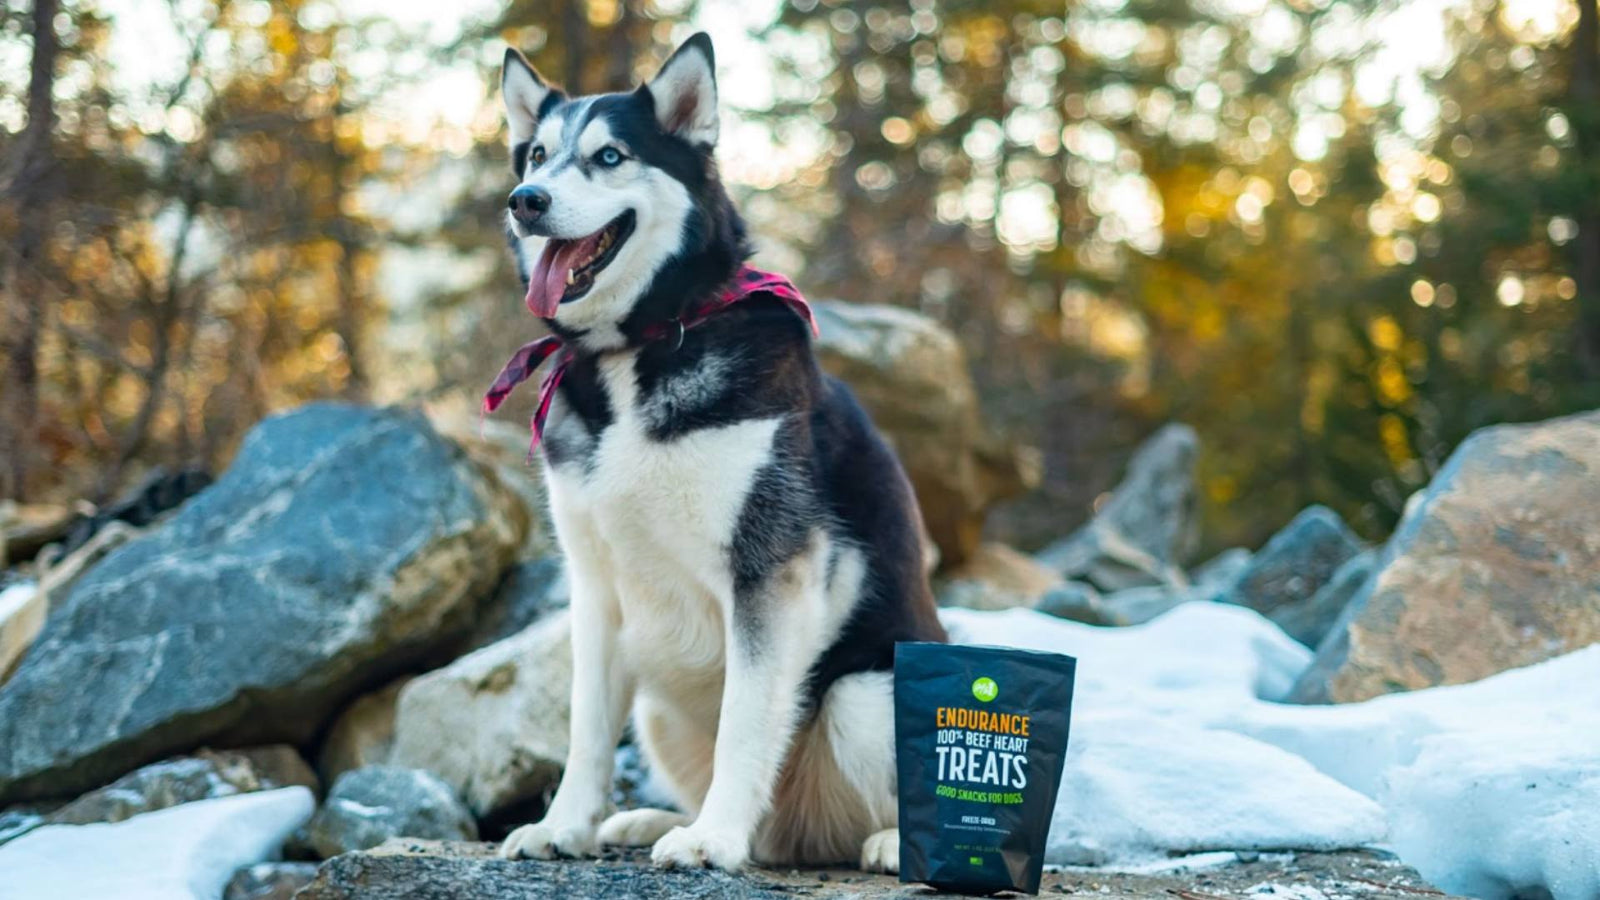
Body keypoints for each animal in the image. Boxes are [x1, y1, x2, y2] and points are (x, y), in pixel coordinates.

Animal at [496, 31, 947, 864]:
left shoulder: (772, 572)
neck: (639, 348)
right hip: (661, 707)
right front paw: (563, 826)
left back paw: (884, 844)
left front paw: (712, 840)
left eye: (609, 156)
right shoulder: (595, 588)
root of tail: (794, 832)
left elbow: (746, 717)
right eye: (536, 155)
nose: (526, 201)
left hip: (863, 693)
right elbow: (586, 729)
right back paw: (658, 821)